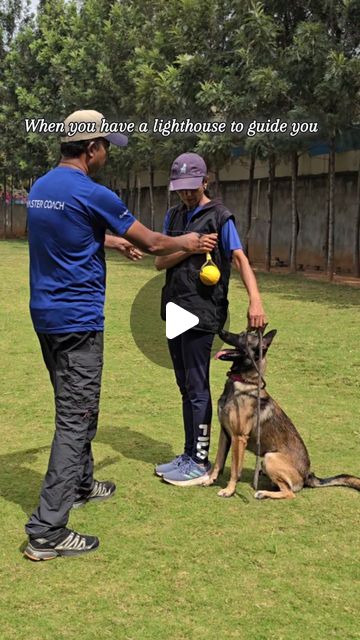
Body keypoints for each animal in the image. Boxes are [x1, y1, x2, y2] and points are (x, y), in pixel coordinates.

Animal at [202, 330, 360, 500]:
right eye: (242, 332)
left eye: (243, 337)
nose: (221, 331)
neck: (244, 383)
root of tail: (307, 475)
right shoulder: (225, 433)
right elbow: (219, 460)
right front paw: (210, 479)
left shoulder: (239, 438)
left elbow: (234, 469)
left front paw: (229, 490)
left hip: (270, 457)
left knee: (289, 493)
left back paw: (263, 493)